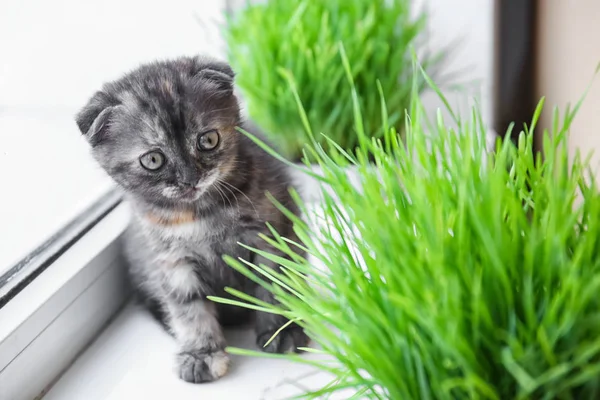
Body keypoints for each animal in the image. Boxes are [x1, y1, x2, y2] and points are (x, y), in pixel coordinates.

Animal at [75, 54, 310, 382]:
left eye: (208, 140)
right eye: (153, 159)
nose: (190, 179)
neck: (200, 212)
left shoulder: (270, 234)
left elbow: (273, 282)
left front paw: (279, 331)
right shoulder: (172, 258)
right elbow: (187, 306)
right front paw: (201, 353)